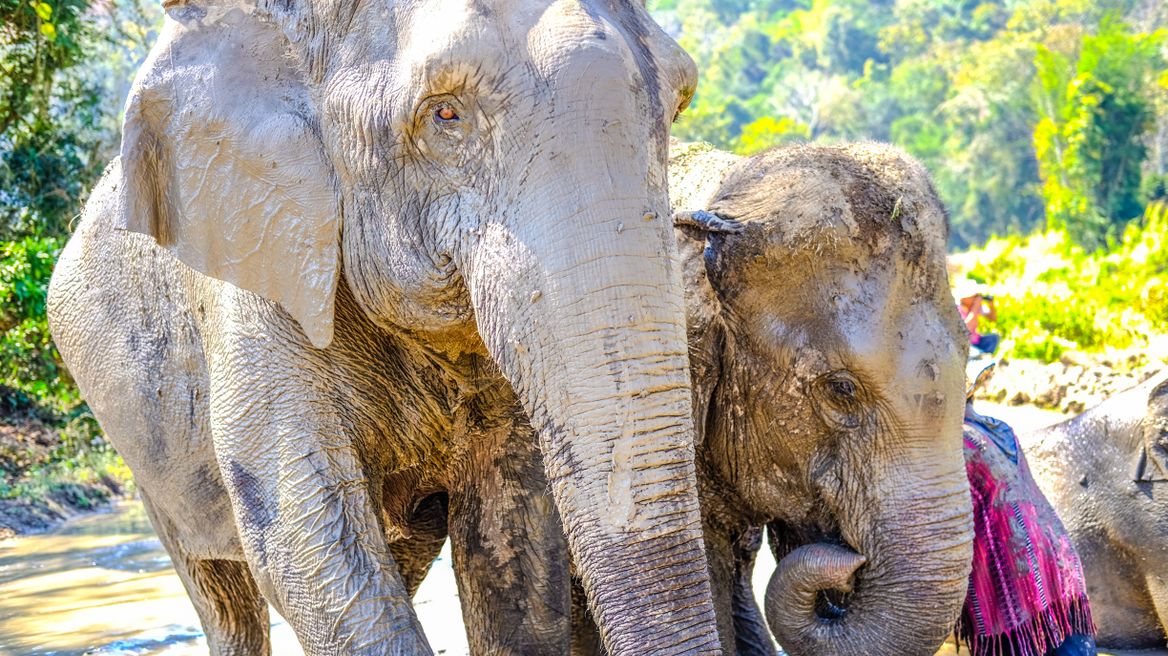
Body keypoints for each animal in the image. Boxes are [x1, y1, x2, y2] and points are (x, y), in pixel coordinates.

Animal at [45, 0, 725, 653]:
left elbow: (513, 547)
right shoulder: (261, 277)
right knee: (224, 599)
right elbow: (307, 548)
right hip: (138, 448)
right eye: (445, 113)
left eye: (677, 104)